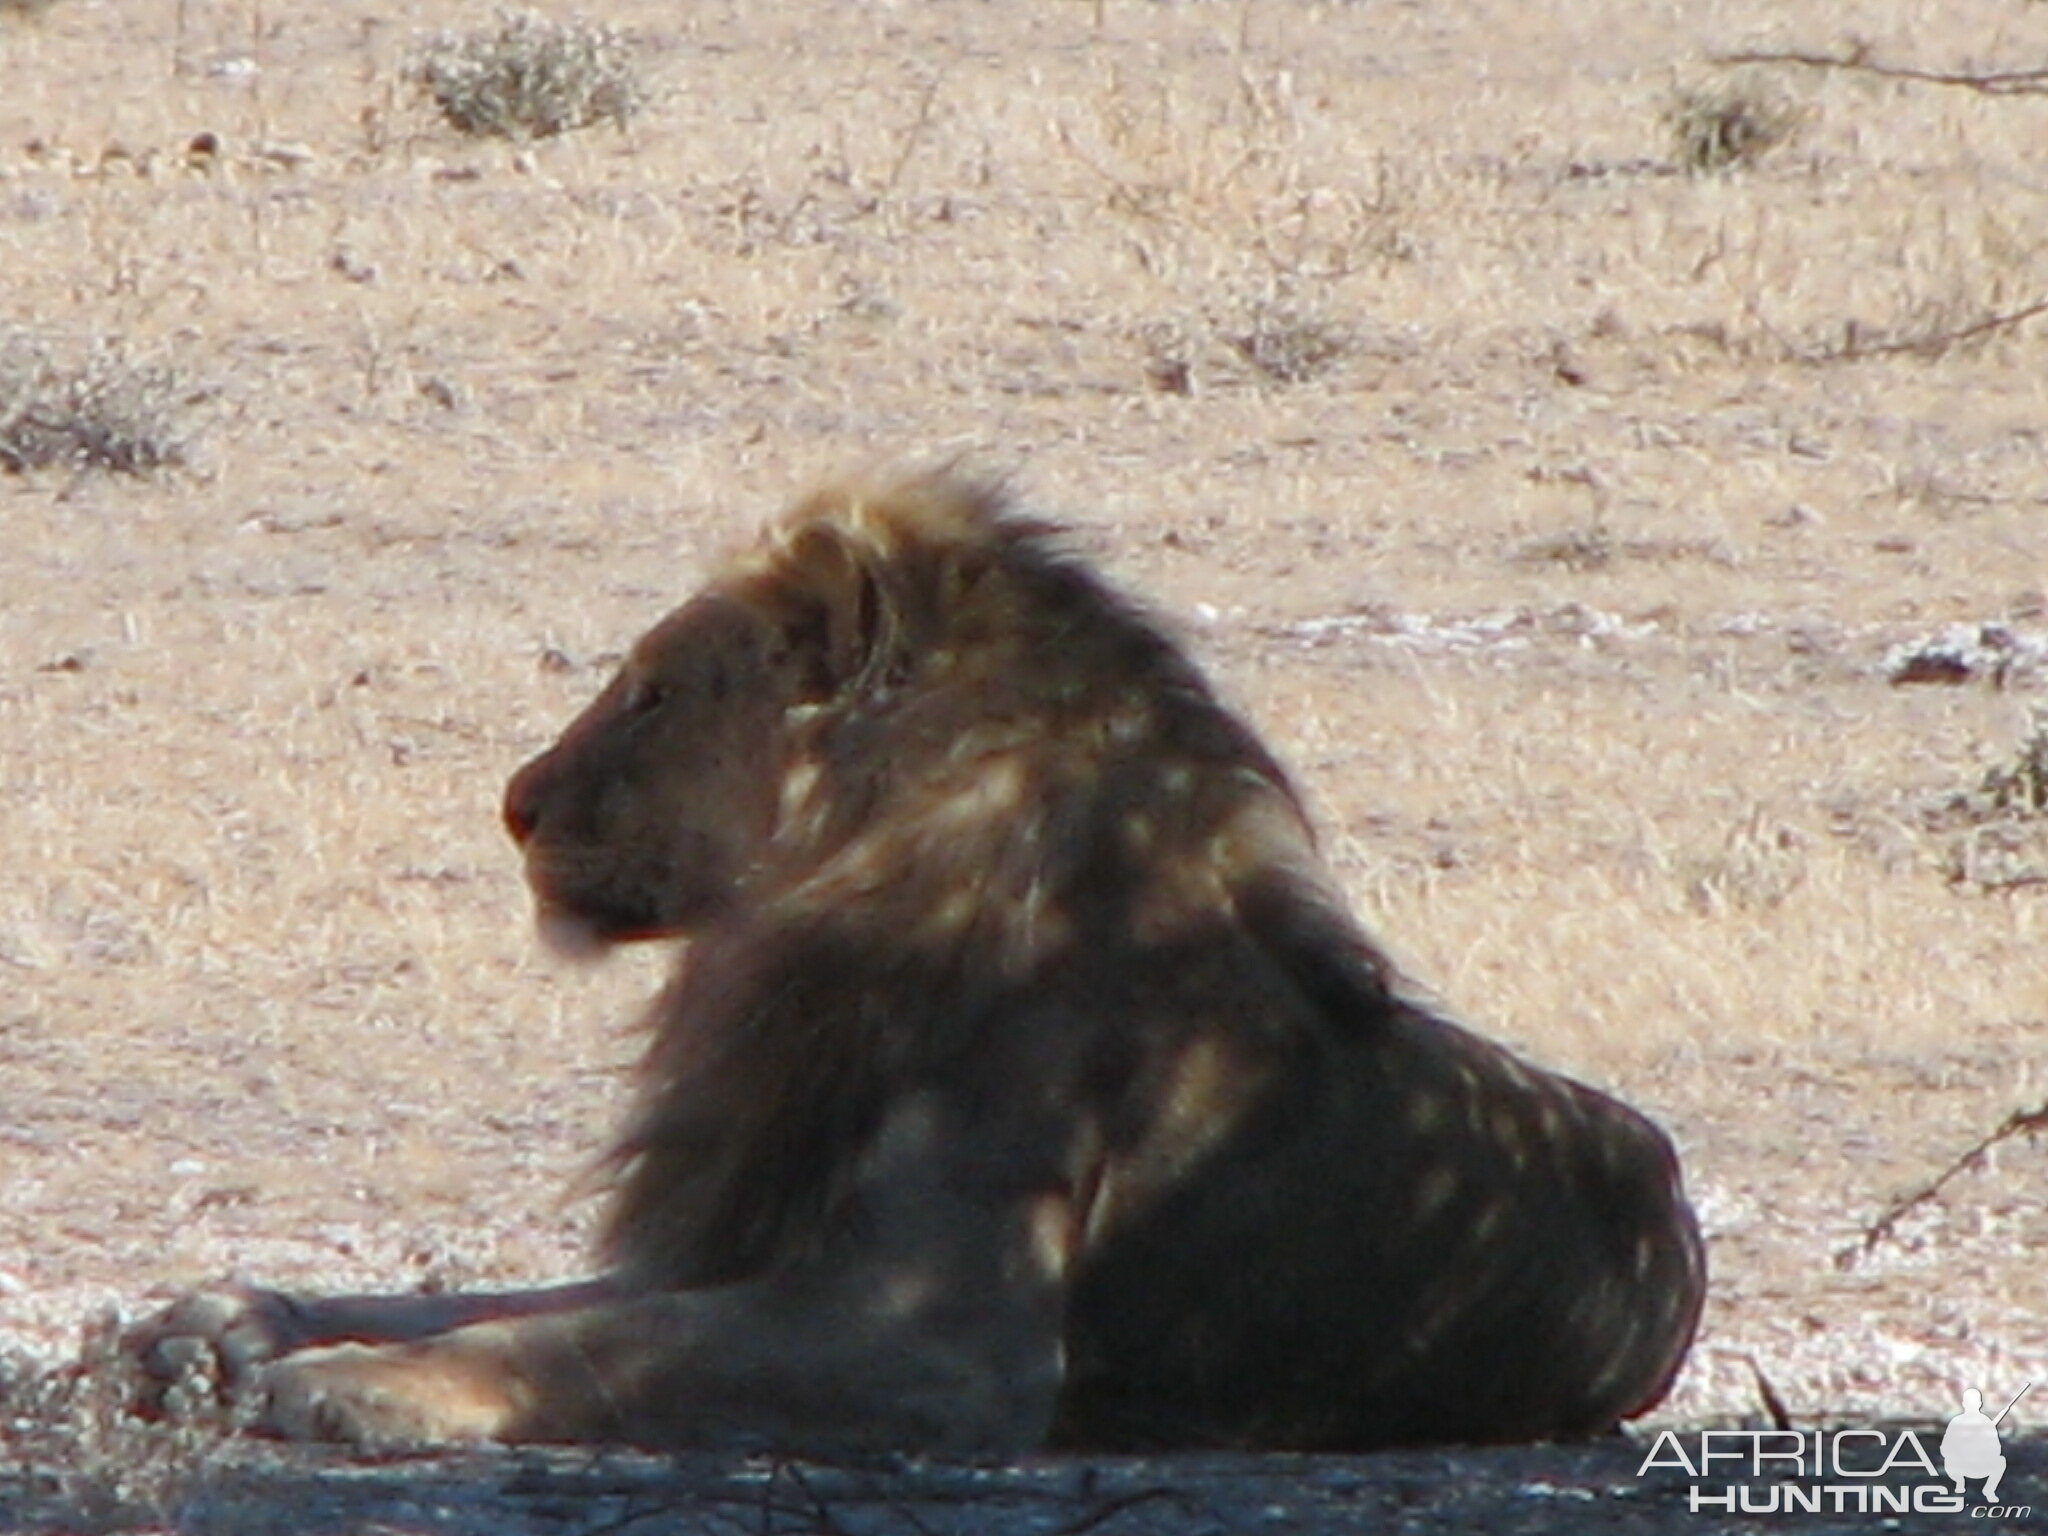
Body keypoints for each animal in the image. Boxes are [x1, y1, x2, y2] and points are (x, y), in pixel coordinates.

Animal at [123, 468, 1695, 1458]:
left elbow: (578, 1345)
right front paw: (222, 1328)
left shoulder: (931, 1335)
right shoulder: (736, 1236)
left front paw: (346, 1387)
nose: (512, 803)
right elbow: (511, 1302)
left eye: (653, 693)